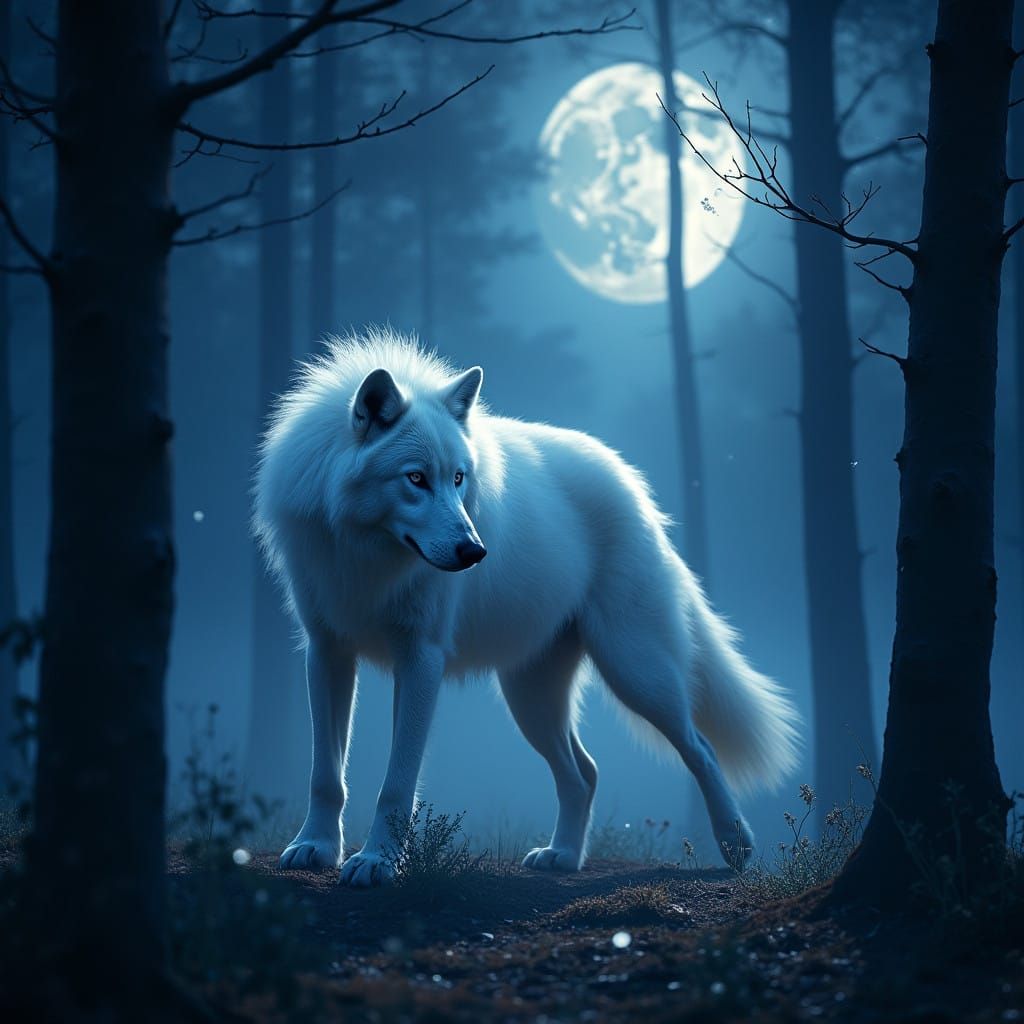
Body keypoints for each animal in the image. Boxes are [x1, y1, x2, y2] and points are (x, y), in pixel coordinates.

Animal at [254, 327, 800, 886]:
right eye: (416, 478)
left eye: (458, 478)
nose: (475, 552)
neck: (366, 554)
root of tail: (632, 484)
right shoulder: (326, 652)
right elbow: (325, 774)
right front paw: (316, 847)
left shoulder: (421, 659)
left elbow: (396, 784)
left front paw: (377, 861)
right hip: (530, 696)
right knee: (585, 773)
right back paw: (562, 856)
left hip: (635, 672)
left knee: (700, 747)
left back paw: (735, 843)